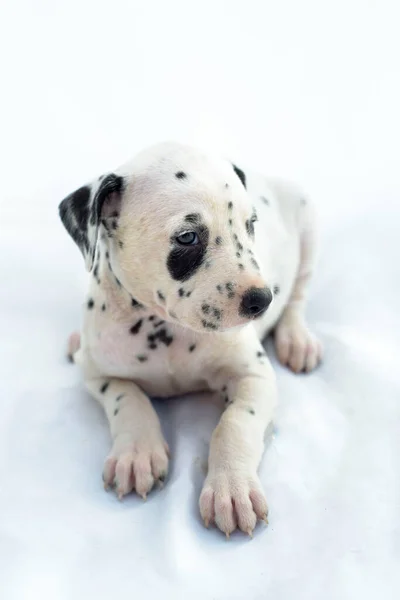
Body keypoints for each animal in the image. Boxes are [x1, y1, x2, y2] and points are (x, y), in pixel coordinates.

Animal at [59, 142, 322, 540]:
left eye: (251, 225)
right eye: (187, 237)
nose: (261, 300)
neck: (166, 329)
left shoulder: (255, 375)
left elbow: (235, 423)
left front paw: (232, 488)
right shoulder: (99, 373)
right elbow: (128, 398)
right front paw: (137, 453)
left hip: (307, 224)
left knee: (299, 295)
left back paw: (297, 339)